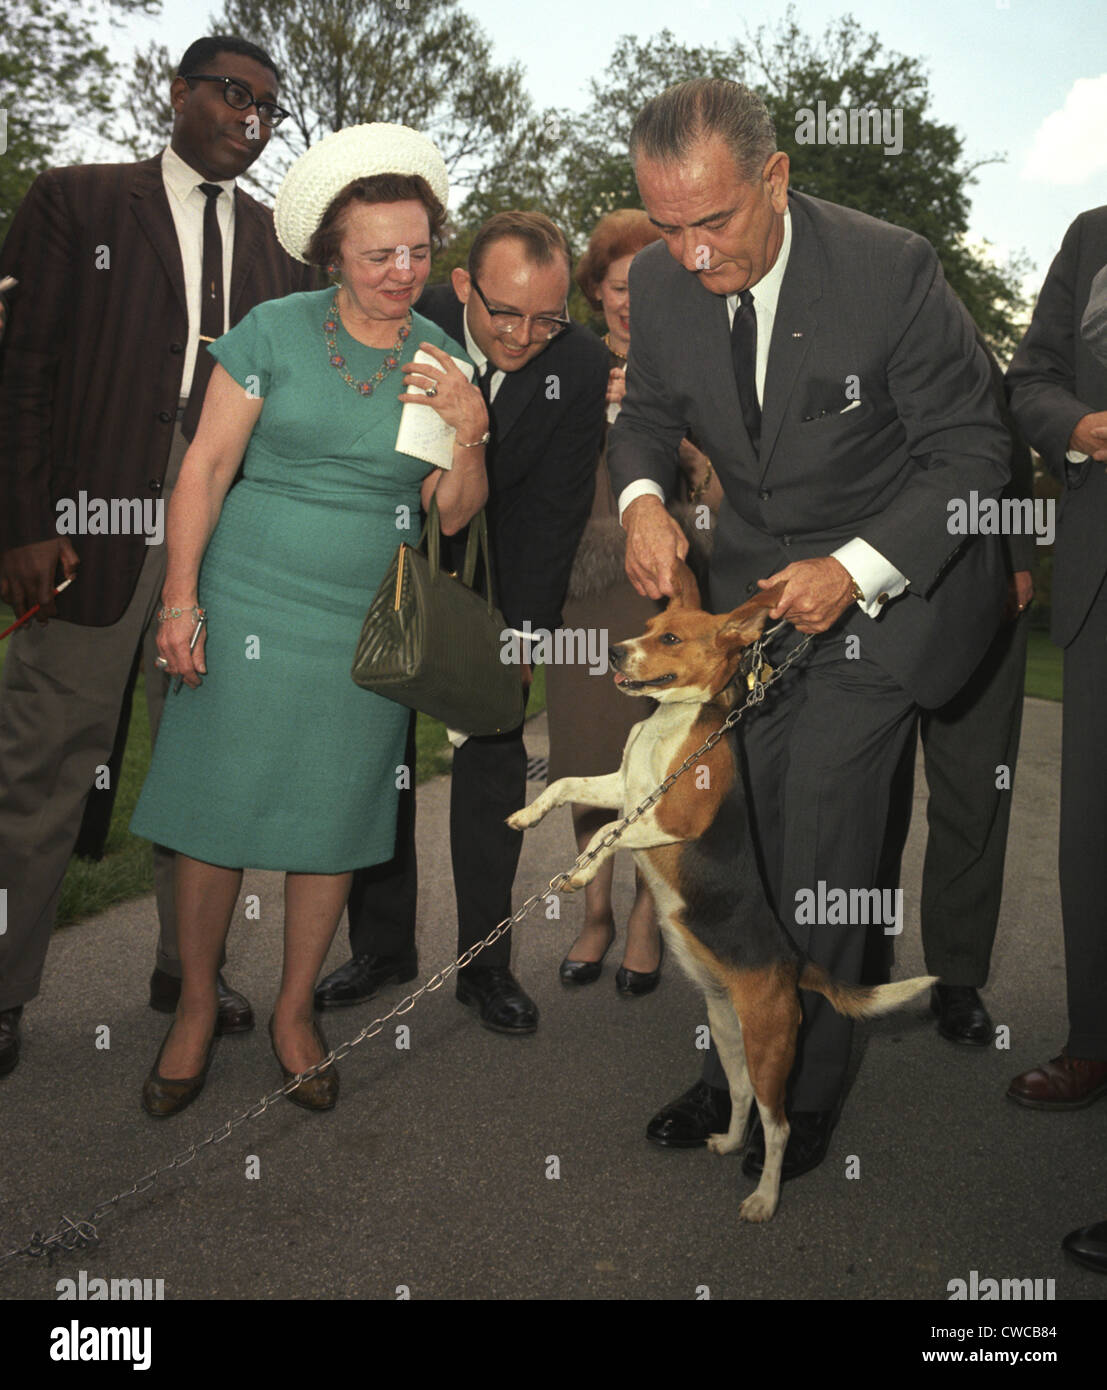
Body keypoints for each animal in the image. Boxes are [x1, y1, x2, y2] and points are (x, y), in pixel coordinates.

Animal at [508, 561, 934, 1217]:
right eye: (648, 622)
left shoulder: (666, 818)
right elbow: (566, 786)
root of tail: (792, 961)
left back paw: (764, 1196)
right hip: (731, 1035)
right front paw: (528, 817)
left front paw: (578, 870)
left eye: (670, 638)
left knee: (778, 1124)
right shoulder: (622, 788)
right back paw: (728, 1140)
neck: (670, 721)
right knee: (738, 1095)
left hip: (769, 1046)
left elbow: (604, 832)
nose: (614, 651)